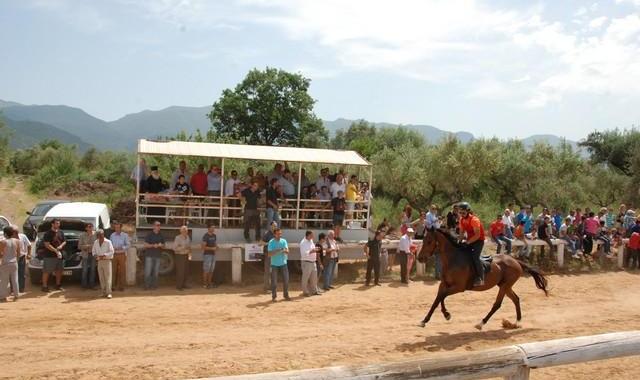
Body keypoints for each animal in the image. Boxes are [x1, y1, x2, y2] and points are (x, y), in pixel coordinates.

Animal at [418, 229, 548, 330]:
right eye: (423, 240)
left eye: (429, 241)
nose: (420, 258)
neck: (453, 259)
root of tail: (516, 261)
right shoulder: (444, 284)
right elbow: (437, 299)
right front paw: (426, 320)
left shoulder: (459, 287)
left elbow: (441, 297)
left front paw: (446, 314)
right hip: (504, 286)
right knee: (516, 299)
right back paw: (517, 322)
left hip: (505, 286)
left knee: (497, 304)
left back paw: (481, 323)